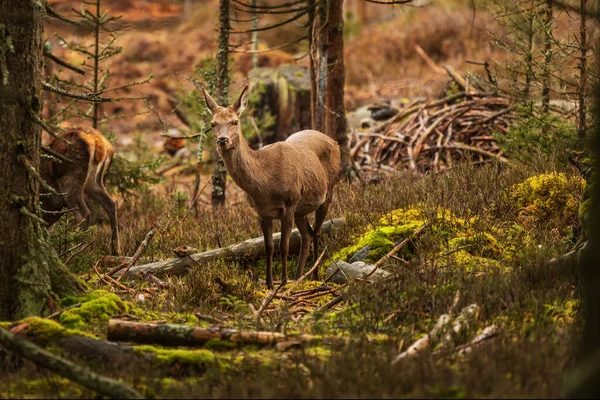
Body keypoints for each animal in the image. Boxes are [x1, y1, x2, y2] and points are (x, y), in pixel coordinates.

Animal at [40, 126, 120, 255]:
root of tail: (96, 140)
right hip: (93, 182)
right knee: (111, 204)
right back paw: (115, 250)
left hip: (70, 180)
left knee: (85, 214)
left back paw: (76, 251)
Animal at [203, 86, 340, 290]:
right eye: (212, 124)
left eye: (235, 121)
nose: (222, 140)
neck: (265, 184)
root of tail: (335, 141)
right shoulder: (261, 212)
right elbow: (269, 248)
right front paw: (269, 285)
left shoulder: (289, 203)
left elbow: (283, 247)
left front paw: (281, 283)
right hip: (301, 209)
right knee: (307, 235)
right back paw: (298, 277)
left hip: (327, 191)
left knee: (316, 231)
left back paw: (314, 275)